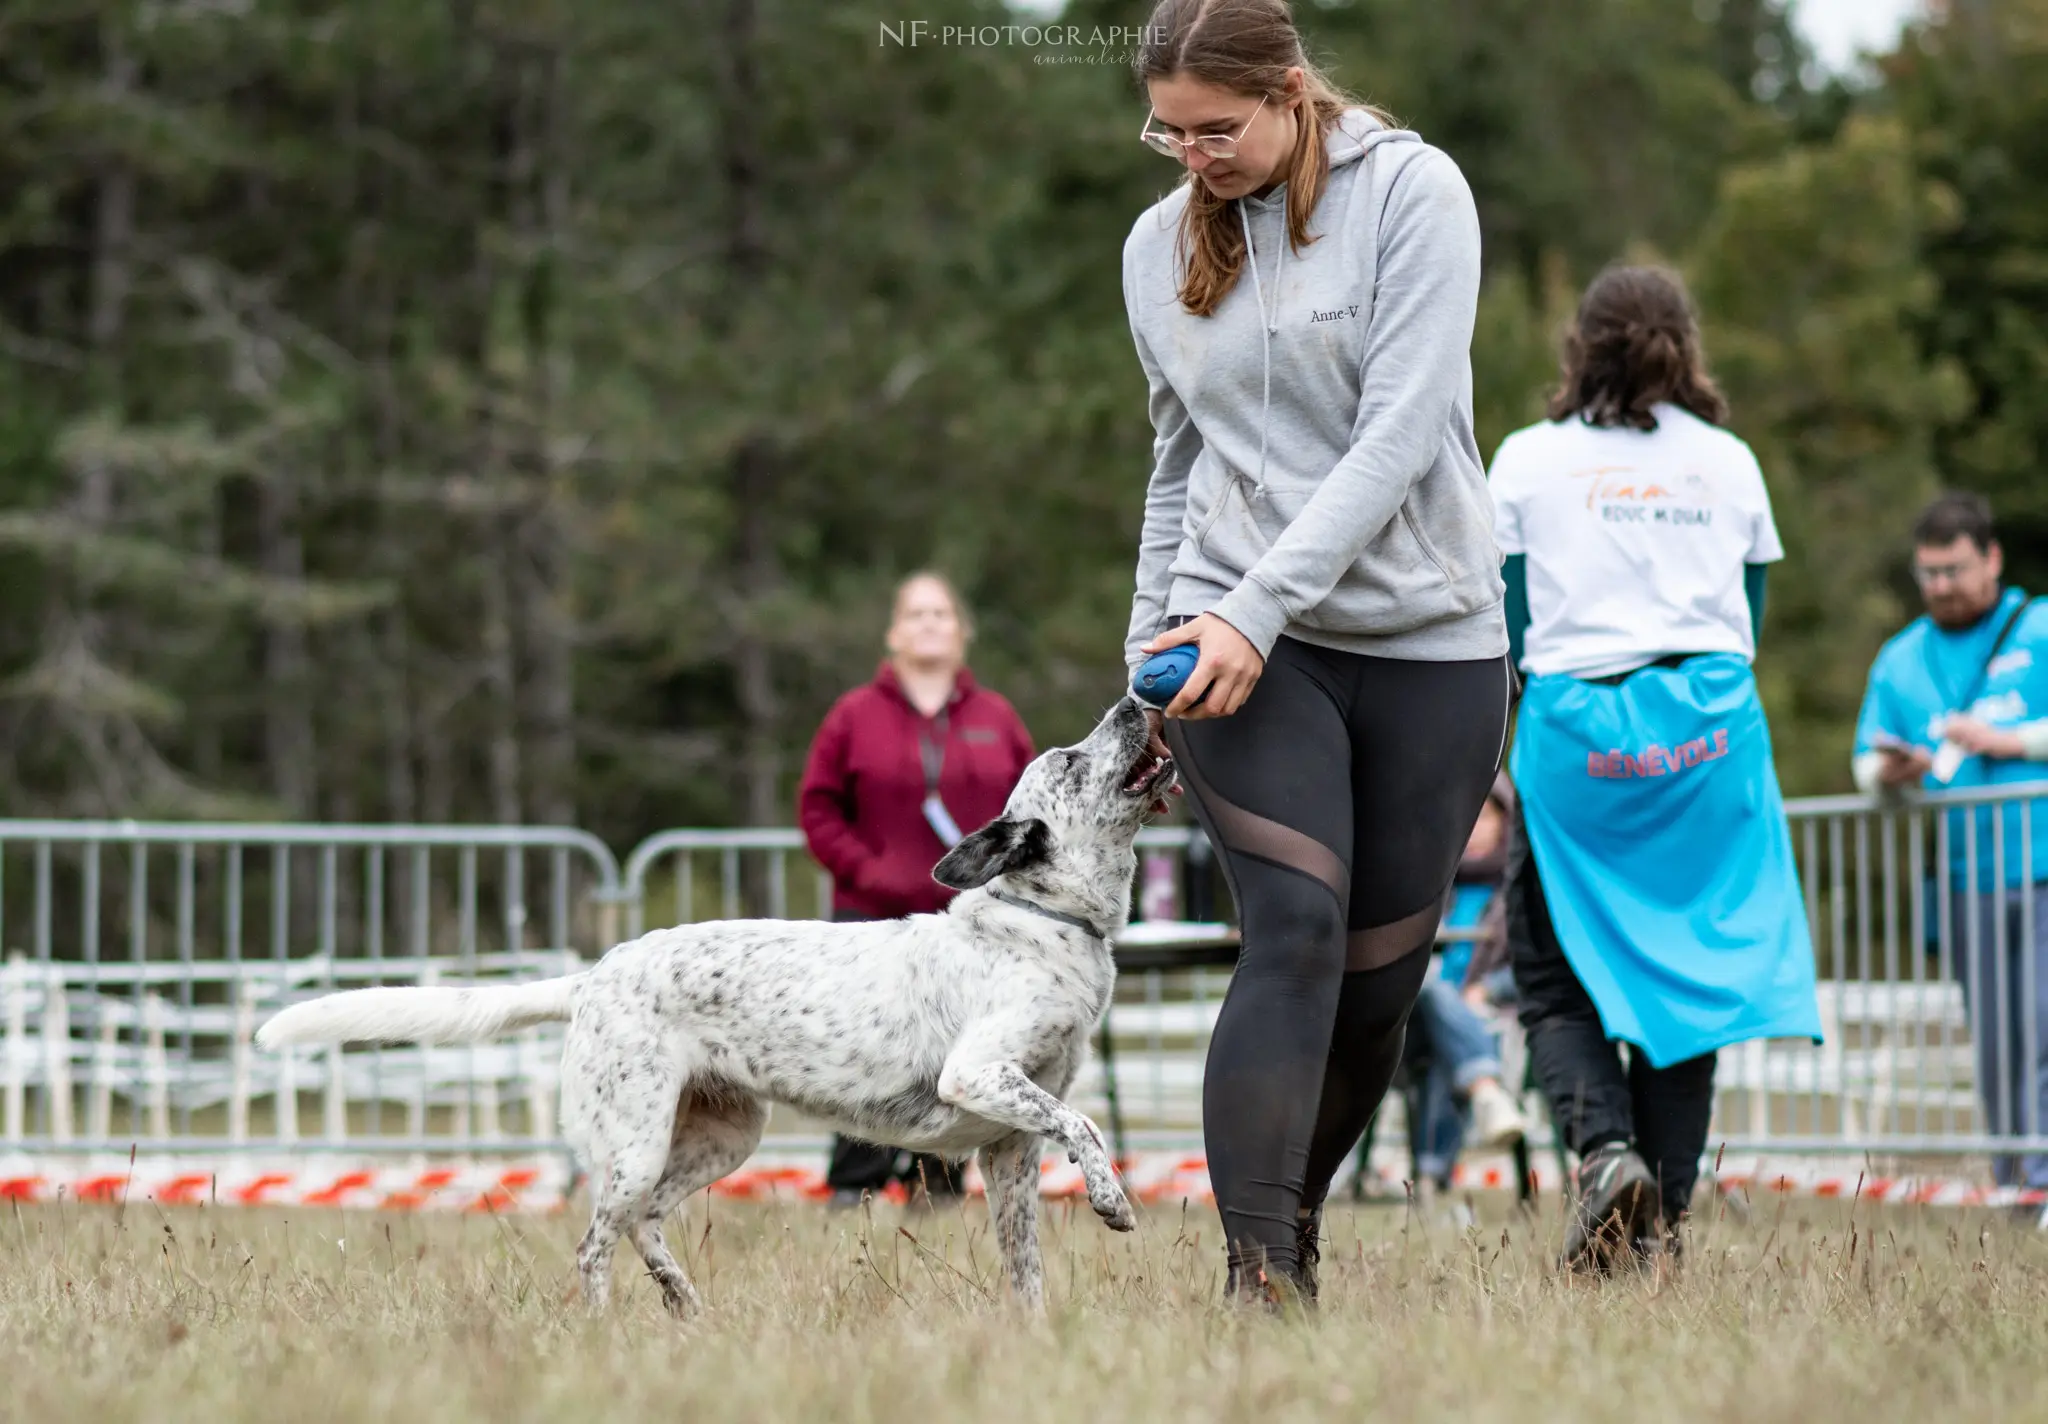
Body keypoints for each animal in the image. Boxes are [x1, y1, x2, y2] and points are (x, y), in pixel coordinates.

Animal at [256, 700, 1179, 1311]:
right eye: (1070, 760)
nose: (1136, 700)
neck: (1046, 922)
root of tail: (595, 976)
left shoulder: (1010, 1149)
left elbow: (1026, 1266)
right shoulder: (978, 1075)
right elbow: (1088, 1130)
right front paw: (1112, 1201)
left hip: (723, 1136)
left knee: (644, 1225)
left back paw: (683, 1302)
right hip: (634, 1143)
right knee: (594, 1244)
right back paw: (602, 1332)